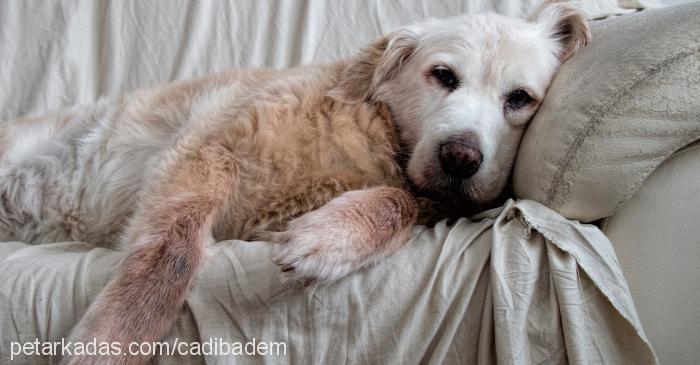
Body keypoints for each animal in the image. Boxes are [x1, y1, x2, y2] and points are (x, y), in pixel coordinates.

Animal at [0, 2, 588, 362]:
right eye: (443, 75)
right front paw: (112, 340)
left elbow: (402, 200)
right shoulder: (203, 150)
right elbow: (171, 254)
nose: (461, 158)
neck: (371, 129)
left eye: (520, 98)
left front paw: (330, 237)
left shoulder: (438, 197)